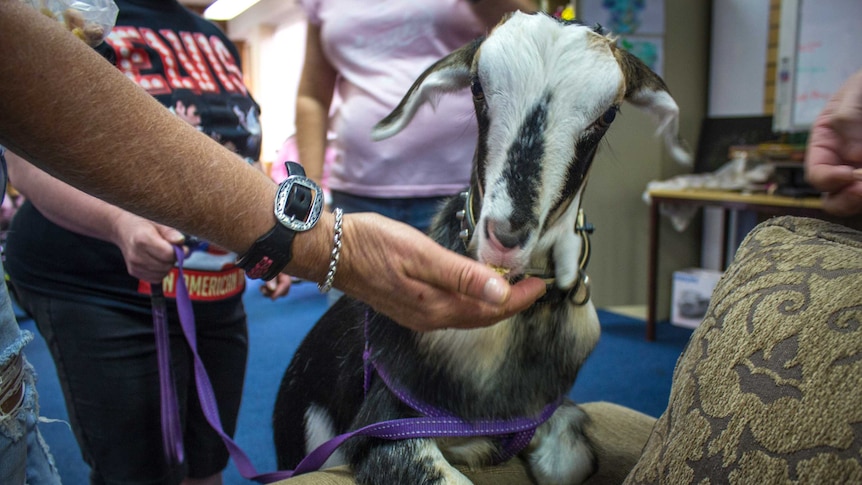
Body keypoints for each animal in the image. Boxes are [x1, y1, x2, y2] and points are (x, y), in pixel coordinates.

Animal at [274, 12, 692, 484]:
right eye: (477, 87)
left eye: (608, 113)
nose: (505, 238)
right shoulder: (382, 426)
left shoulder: (547, 412)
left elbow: (573, 460)